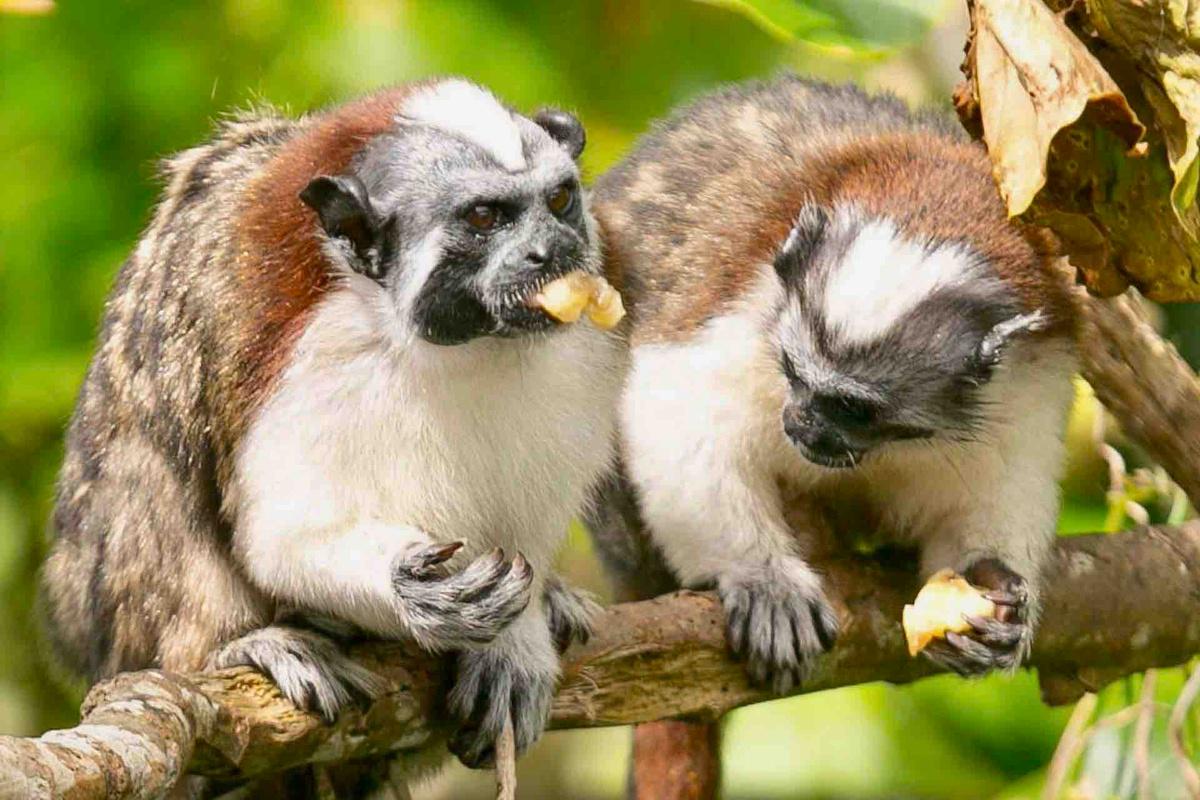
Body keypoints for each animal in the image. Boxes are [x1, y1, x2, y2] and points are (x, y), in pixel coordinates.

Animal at [40, 78, 622, 771]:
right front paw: (407, 590)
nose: (552, 250)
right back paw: (239, 643)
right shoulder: (315, 362)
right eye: (484, 218)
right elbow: (282, 538)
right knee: (150, 468)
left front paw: (517, 641)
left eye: (559, 201)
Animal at [586, 75, 1077, 691]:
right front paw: (760, 575)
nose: (802, 425)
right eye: (794, 372)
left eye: (854, 409)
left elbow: (1001, 488)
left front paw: (992, 586)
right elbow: (672, 413)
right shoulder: (740, 296)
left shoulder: (1029, 376)